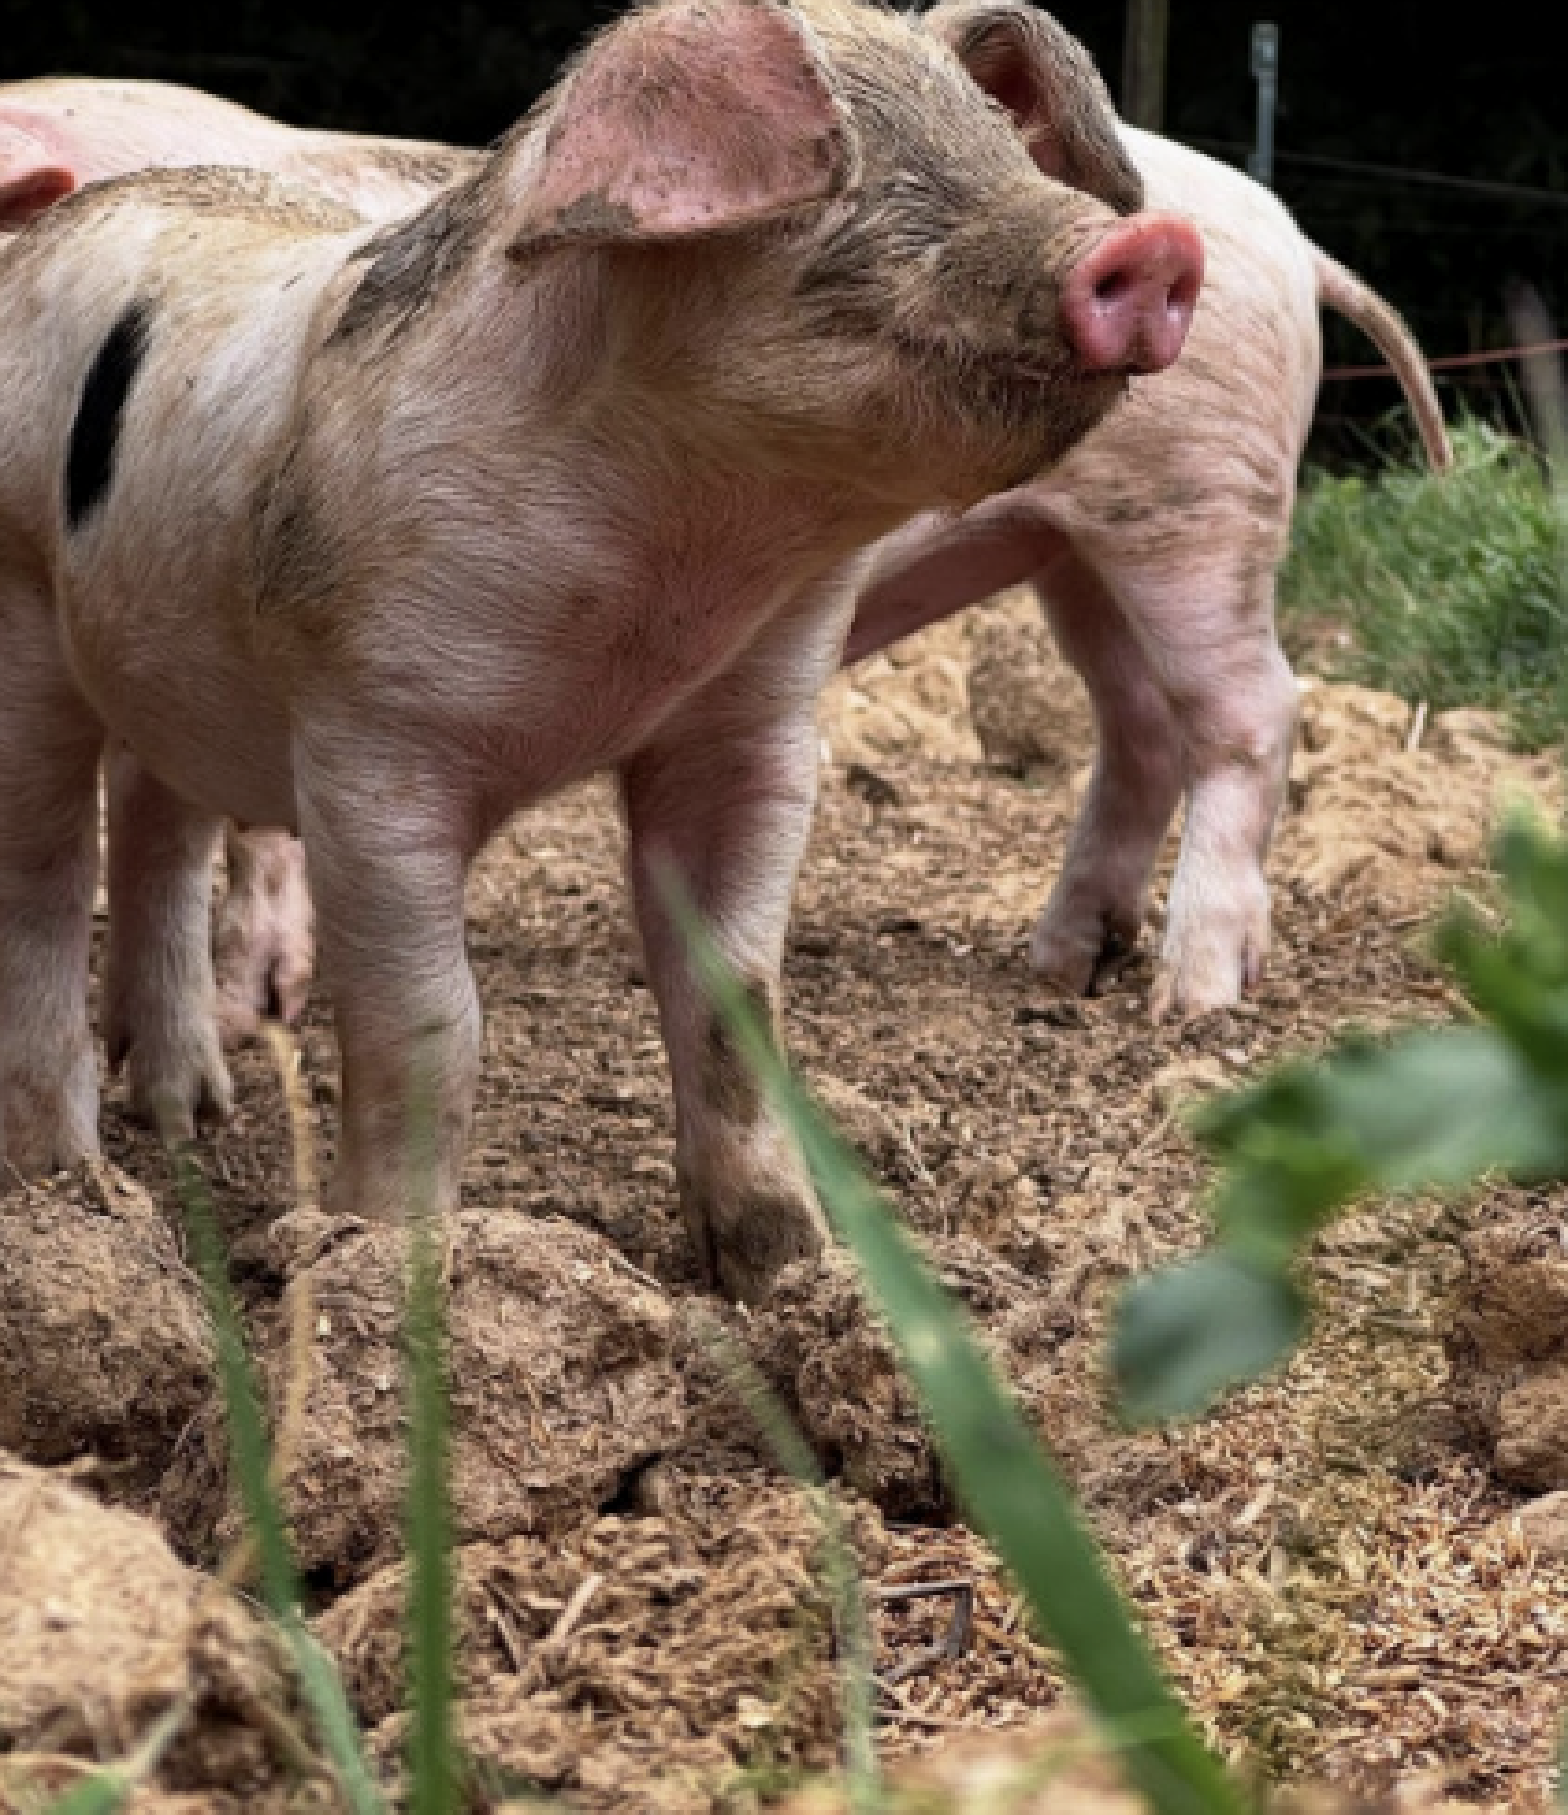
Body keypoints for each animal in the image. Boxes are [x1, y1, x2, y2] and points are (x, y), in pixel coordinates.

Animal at [0, 0, 1202, 1302]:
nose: (1151, 243)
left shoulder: (748, 730)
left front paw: (786, 1270)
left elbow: (738, 998)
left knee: (157, 826)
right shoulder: (372, 742)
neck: (661, 596)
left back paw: (186, 1118)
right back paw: (70, 1190)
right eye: (845, 166)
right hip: (23, 609)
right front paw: (400, 1273)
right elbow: (428, 1026)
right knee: (46, 882)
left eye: (992, 137)